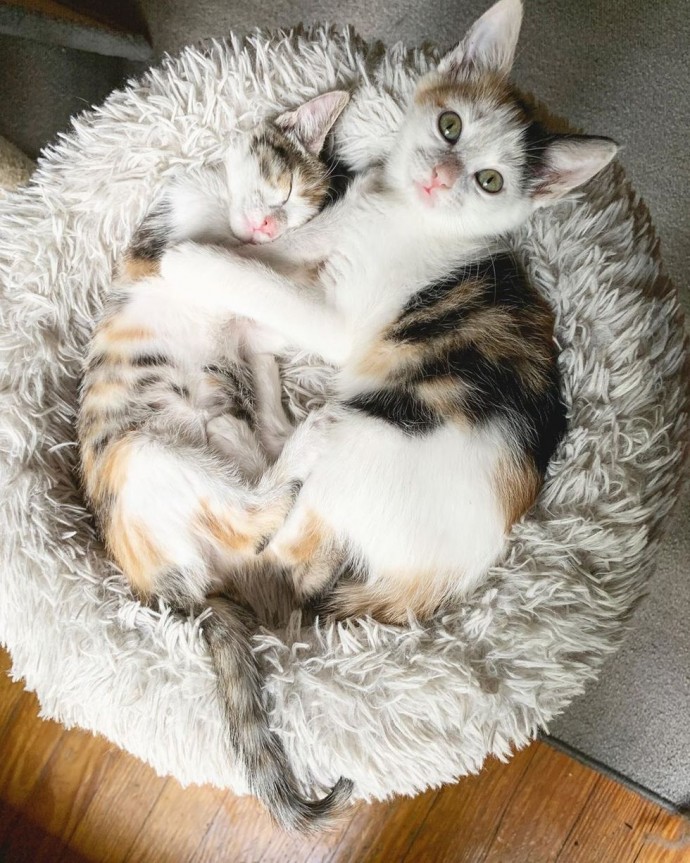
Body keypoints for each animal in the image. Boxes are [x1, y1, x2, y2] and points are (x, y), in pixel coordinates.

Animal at [77, 93, 352, 832]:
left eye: (294, 206)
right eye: (283, 188)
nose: (268, 225)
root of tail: (186, 598)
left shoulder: (250, 329)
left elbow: (263, 342)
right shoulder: (169, 243)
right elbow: (241, 271)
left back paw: (288, 436)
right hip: (146, 455)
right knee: (255, 513)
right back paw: (314, 434)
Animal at [159, 0, 616, 628]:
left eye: (490, 182)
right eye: (450, 125)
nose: (440, 177)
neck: (399, 210)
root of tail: (435, 587)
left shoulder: (339, 319)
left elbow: (263, 282)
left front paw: (192, 263)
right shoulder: (331, 229)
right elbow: (275, 258)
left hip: (361, 434)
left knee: (280, 564)